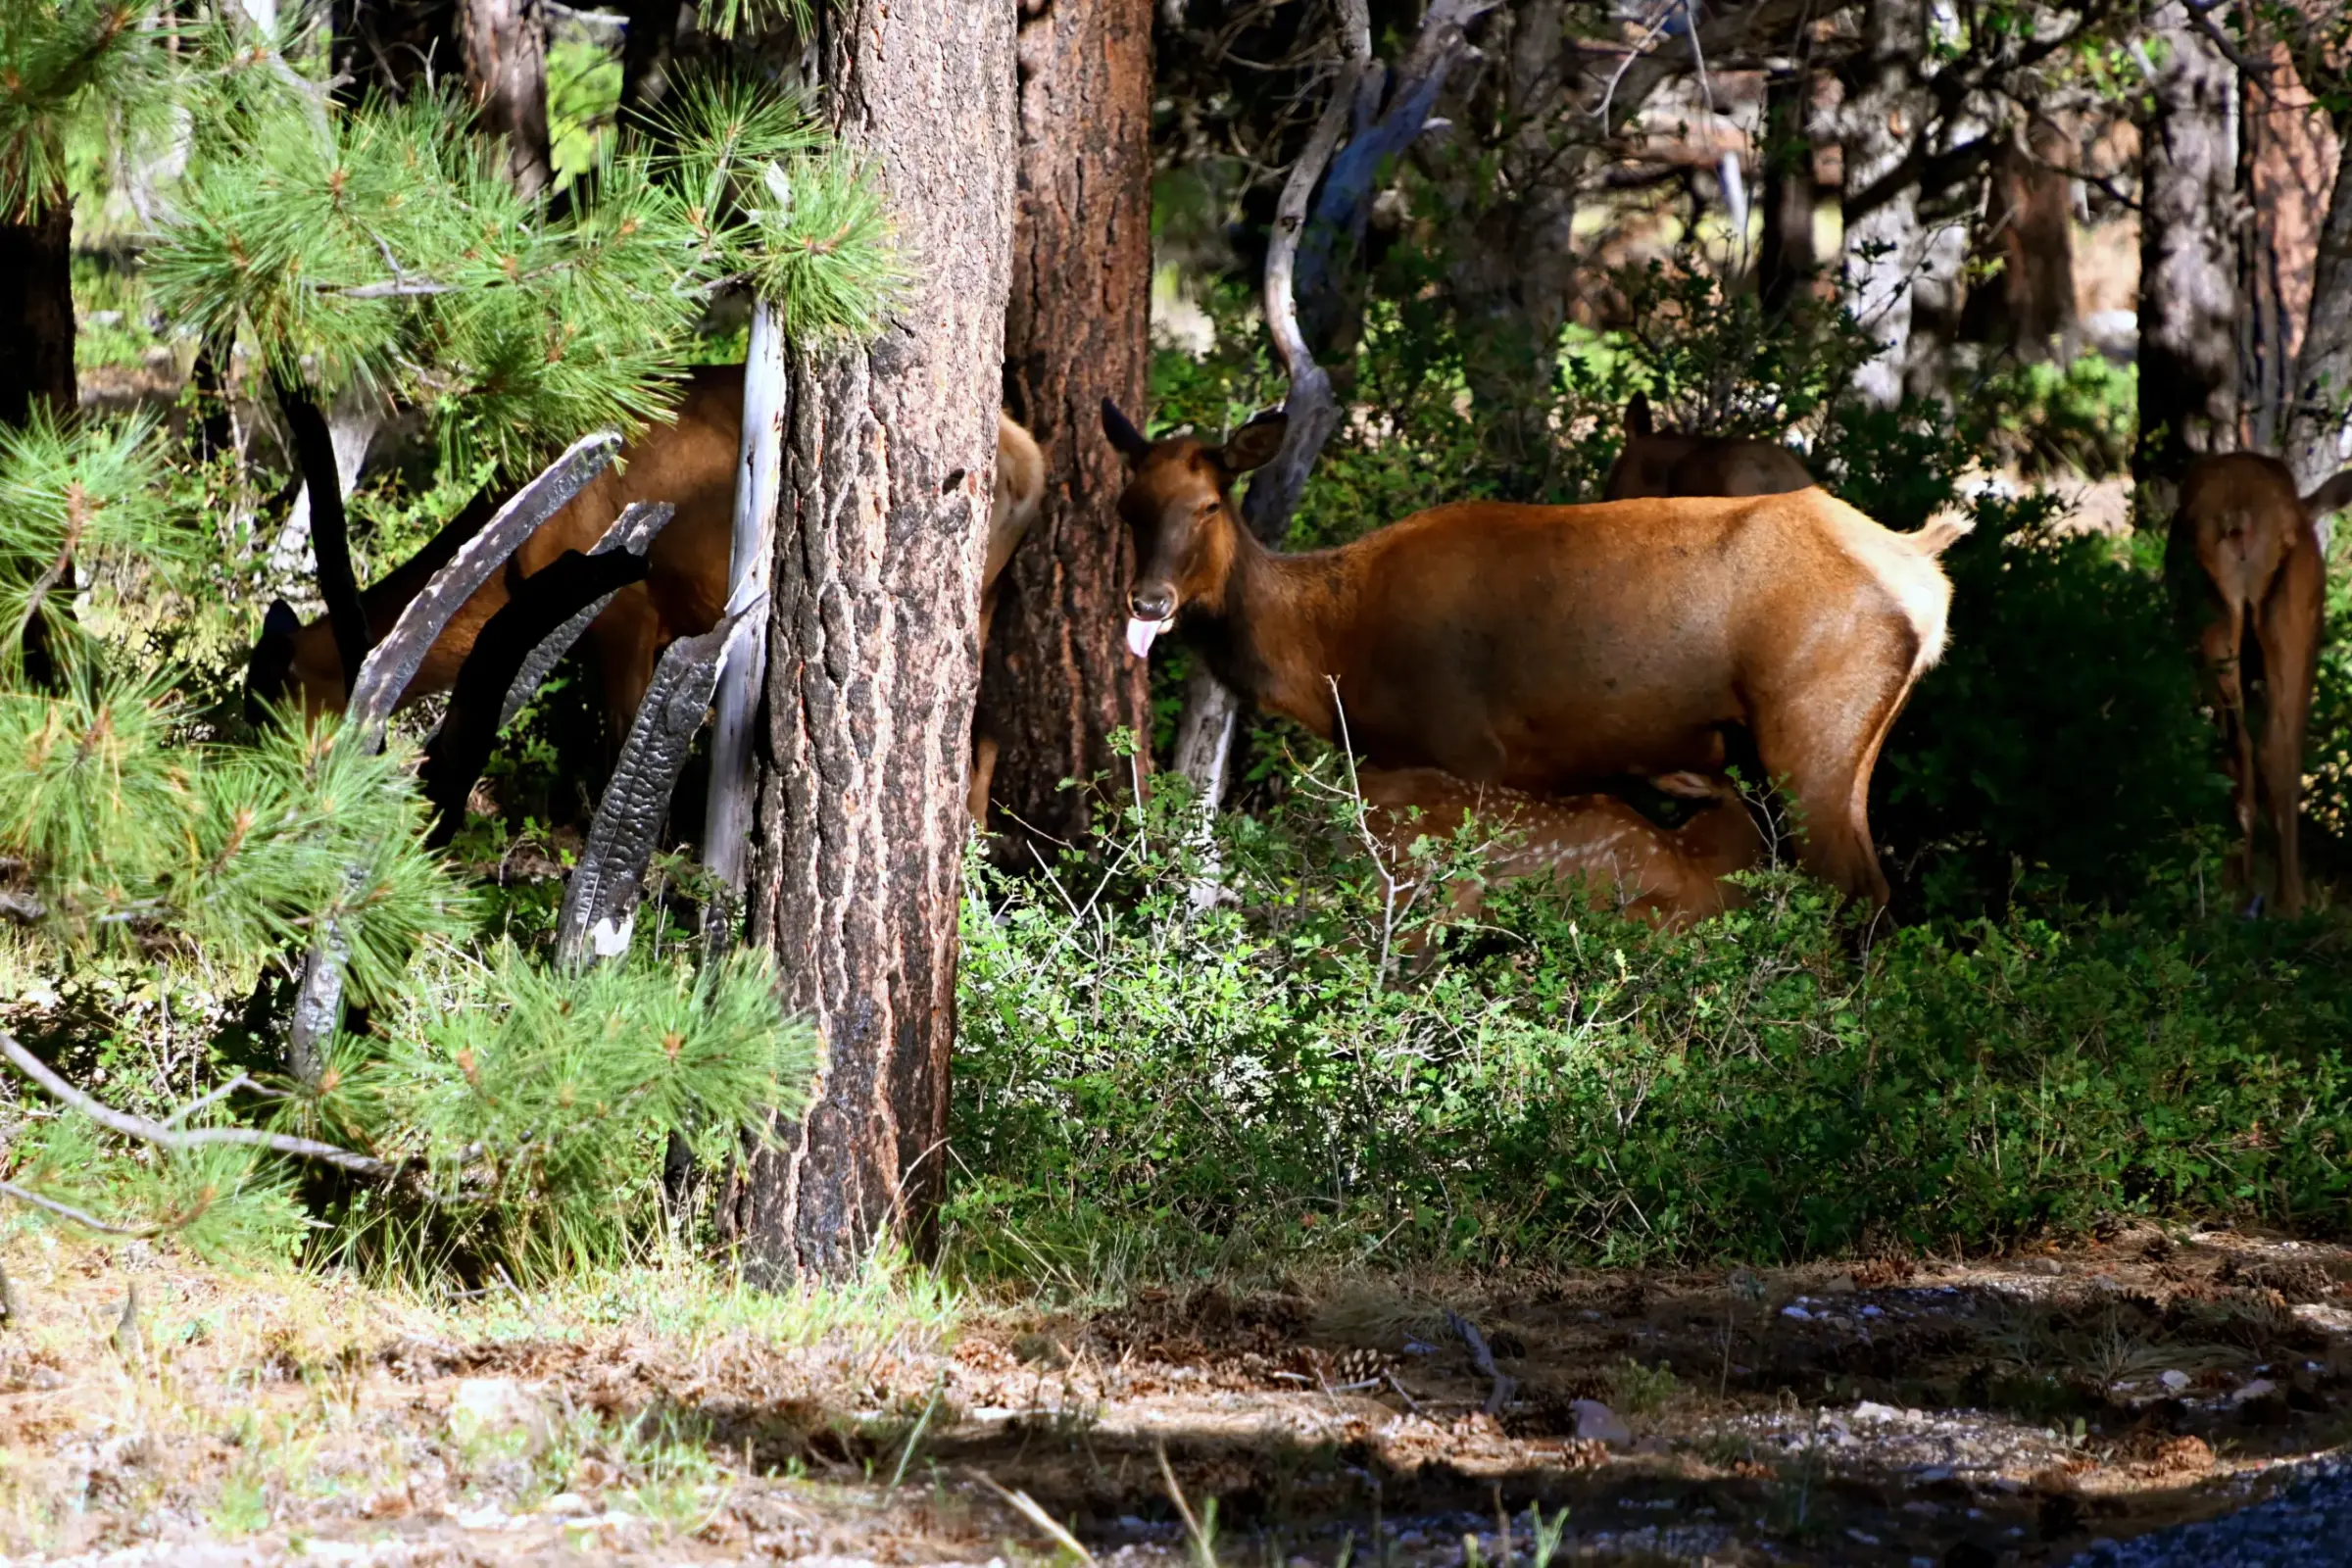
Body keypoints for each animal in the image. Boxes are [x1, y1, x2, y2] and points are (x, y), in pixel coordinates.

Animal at [2169, 452, 2352, 918]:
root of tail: (2239, 519)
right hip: (2294, 616)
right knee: (2278, 749)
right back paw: (2292, 901)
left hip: (2212, 617)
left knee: (2237, 749)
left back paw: (2237, 890)